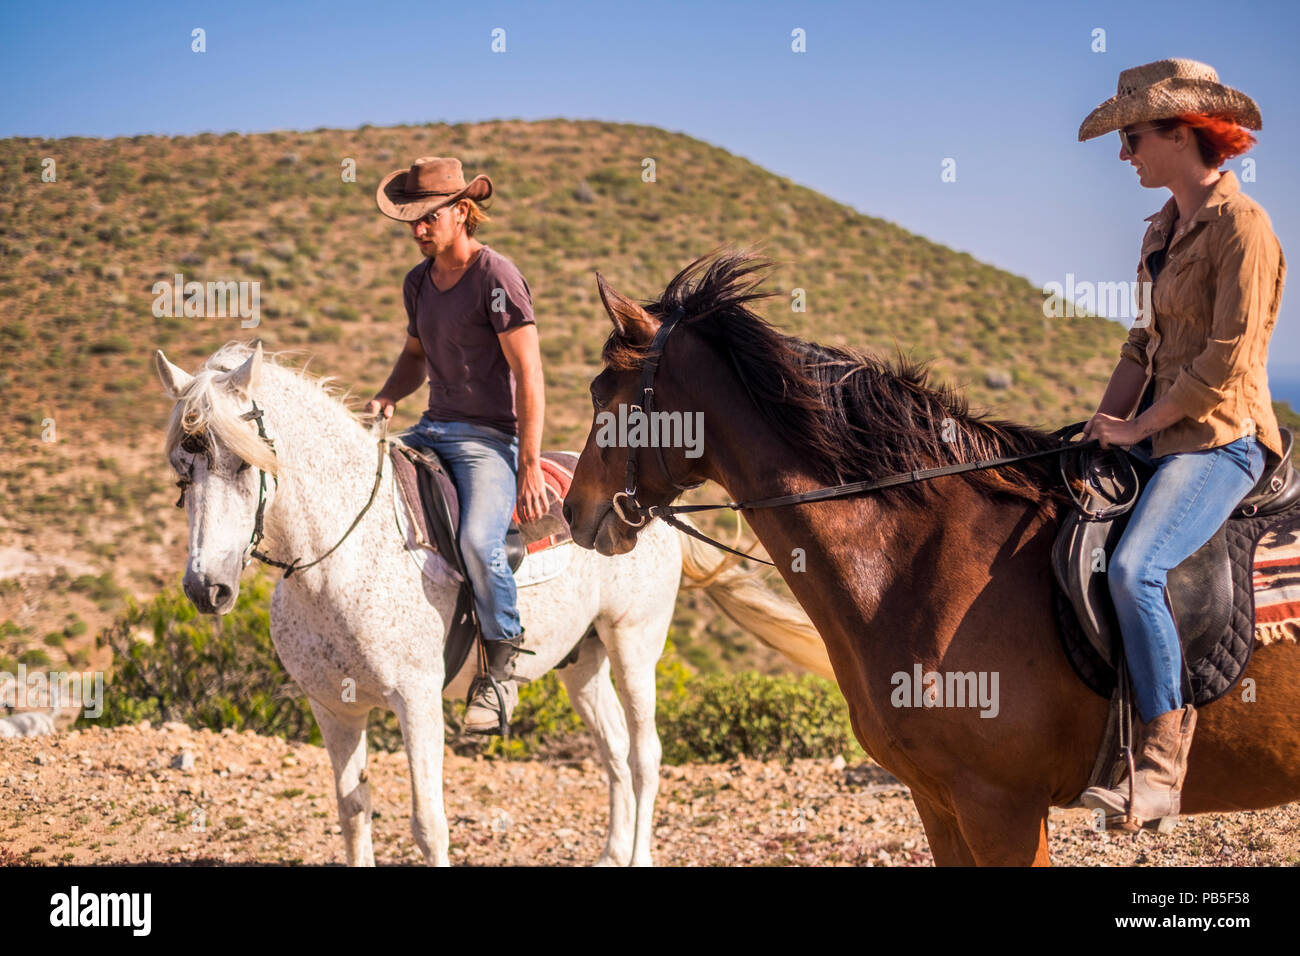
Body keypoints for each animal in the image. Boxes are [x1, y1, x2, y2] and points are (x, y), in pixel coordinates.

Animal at [154, 343, 832, 868]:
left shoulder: (416, 702)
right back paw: (612, 853)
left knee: (644, 754)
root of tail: (640, 505)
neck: (335, 560)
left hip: (634, 642)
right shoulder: (334, 711)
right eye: (182, 471)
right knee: (614, 751)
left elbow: (429, 826)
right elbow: (353, 813)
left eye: (245, 464)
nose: (206, 589)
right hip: (583, 662)